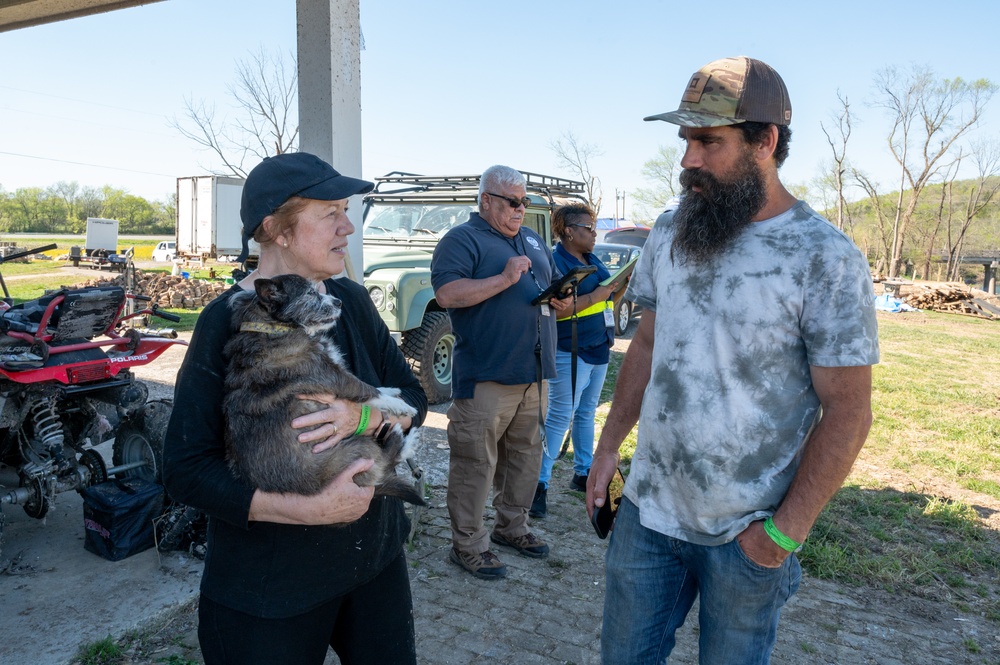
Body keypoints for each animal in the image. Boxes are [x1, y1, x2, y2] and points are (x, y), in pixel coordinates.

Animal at [221, 272, 424, 506]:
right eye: (310, 294)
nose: (339, 302)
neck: (275, 327)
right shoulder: (334, 377)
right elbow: (368, 390)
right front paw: (401, 406)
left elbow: (376, 387)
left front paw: (392, 389)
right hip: (358, 449)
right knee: (385, 462)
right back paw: (403, 438)